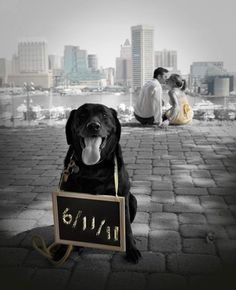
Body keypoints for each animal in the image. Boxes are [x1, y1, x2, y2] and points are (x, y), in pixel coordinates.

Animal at [60, 103, 141, 264]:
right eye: (82, 115)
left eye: (104, 115)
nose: (93, 126)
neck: (94, 167)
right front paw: (62, 249)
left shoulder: (123, 196)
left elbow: (127, 227)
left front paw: (131, 249)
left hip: (133, 200)